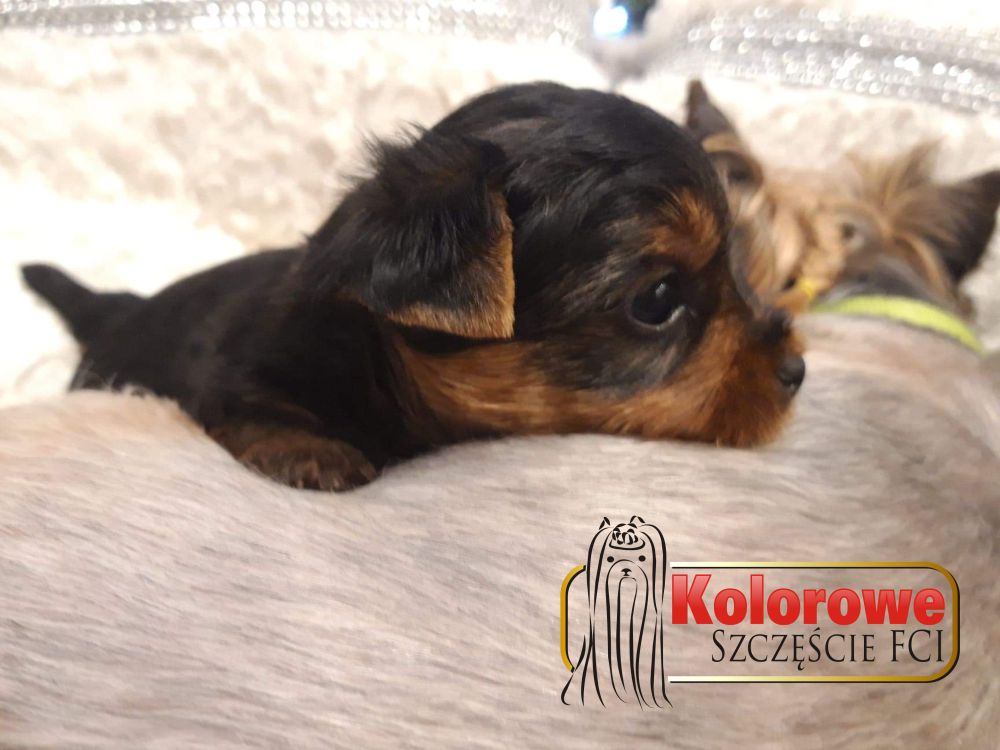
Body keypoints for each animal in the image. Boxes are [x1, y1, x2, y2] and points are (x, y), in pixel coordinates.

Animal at [20, 83, 804, 492]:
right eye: (657, 301)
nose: (797, 370)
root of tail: (113, 309)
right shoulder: (238, 373)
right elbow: (253, 409)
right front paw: (315, 453)